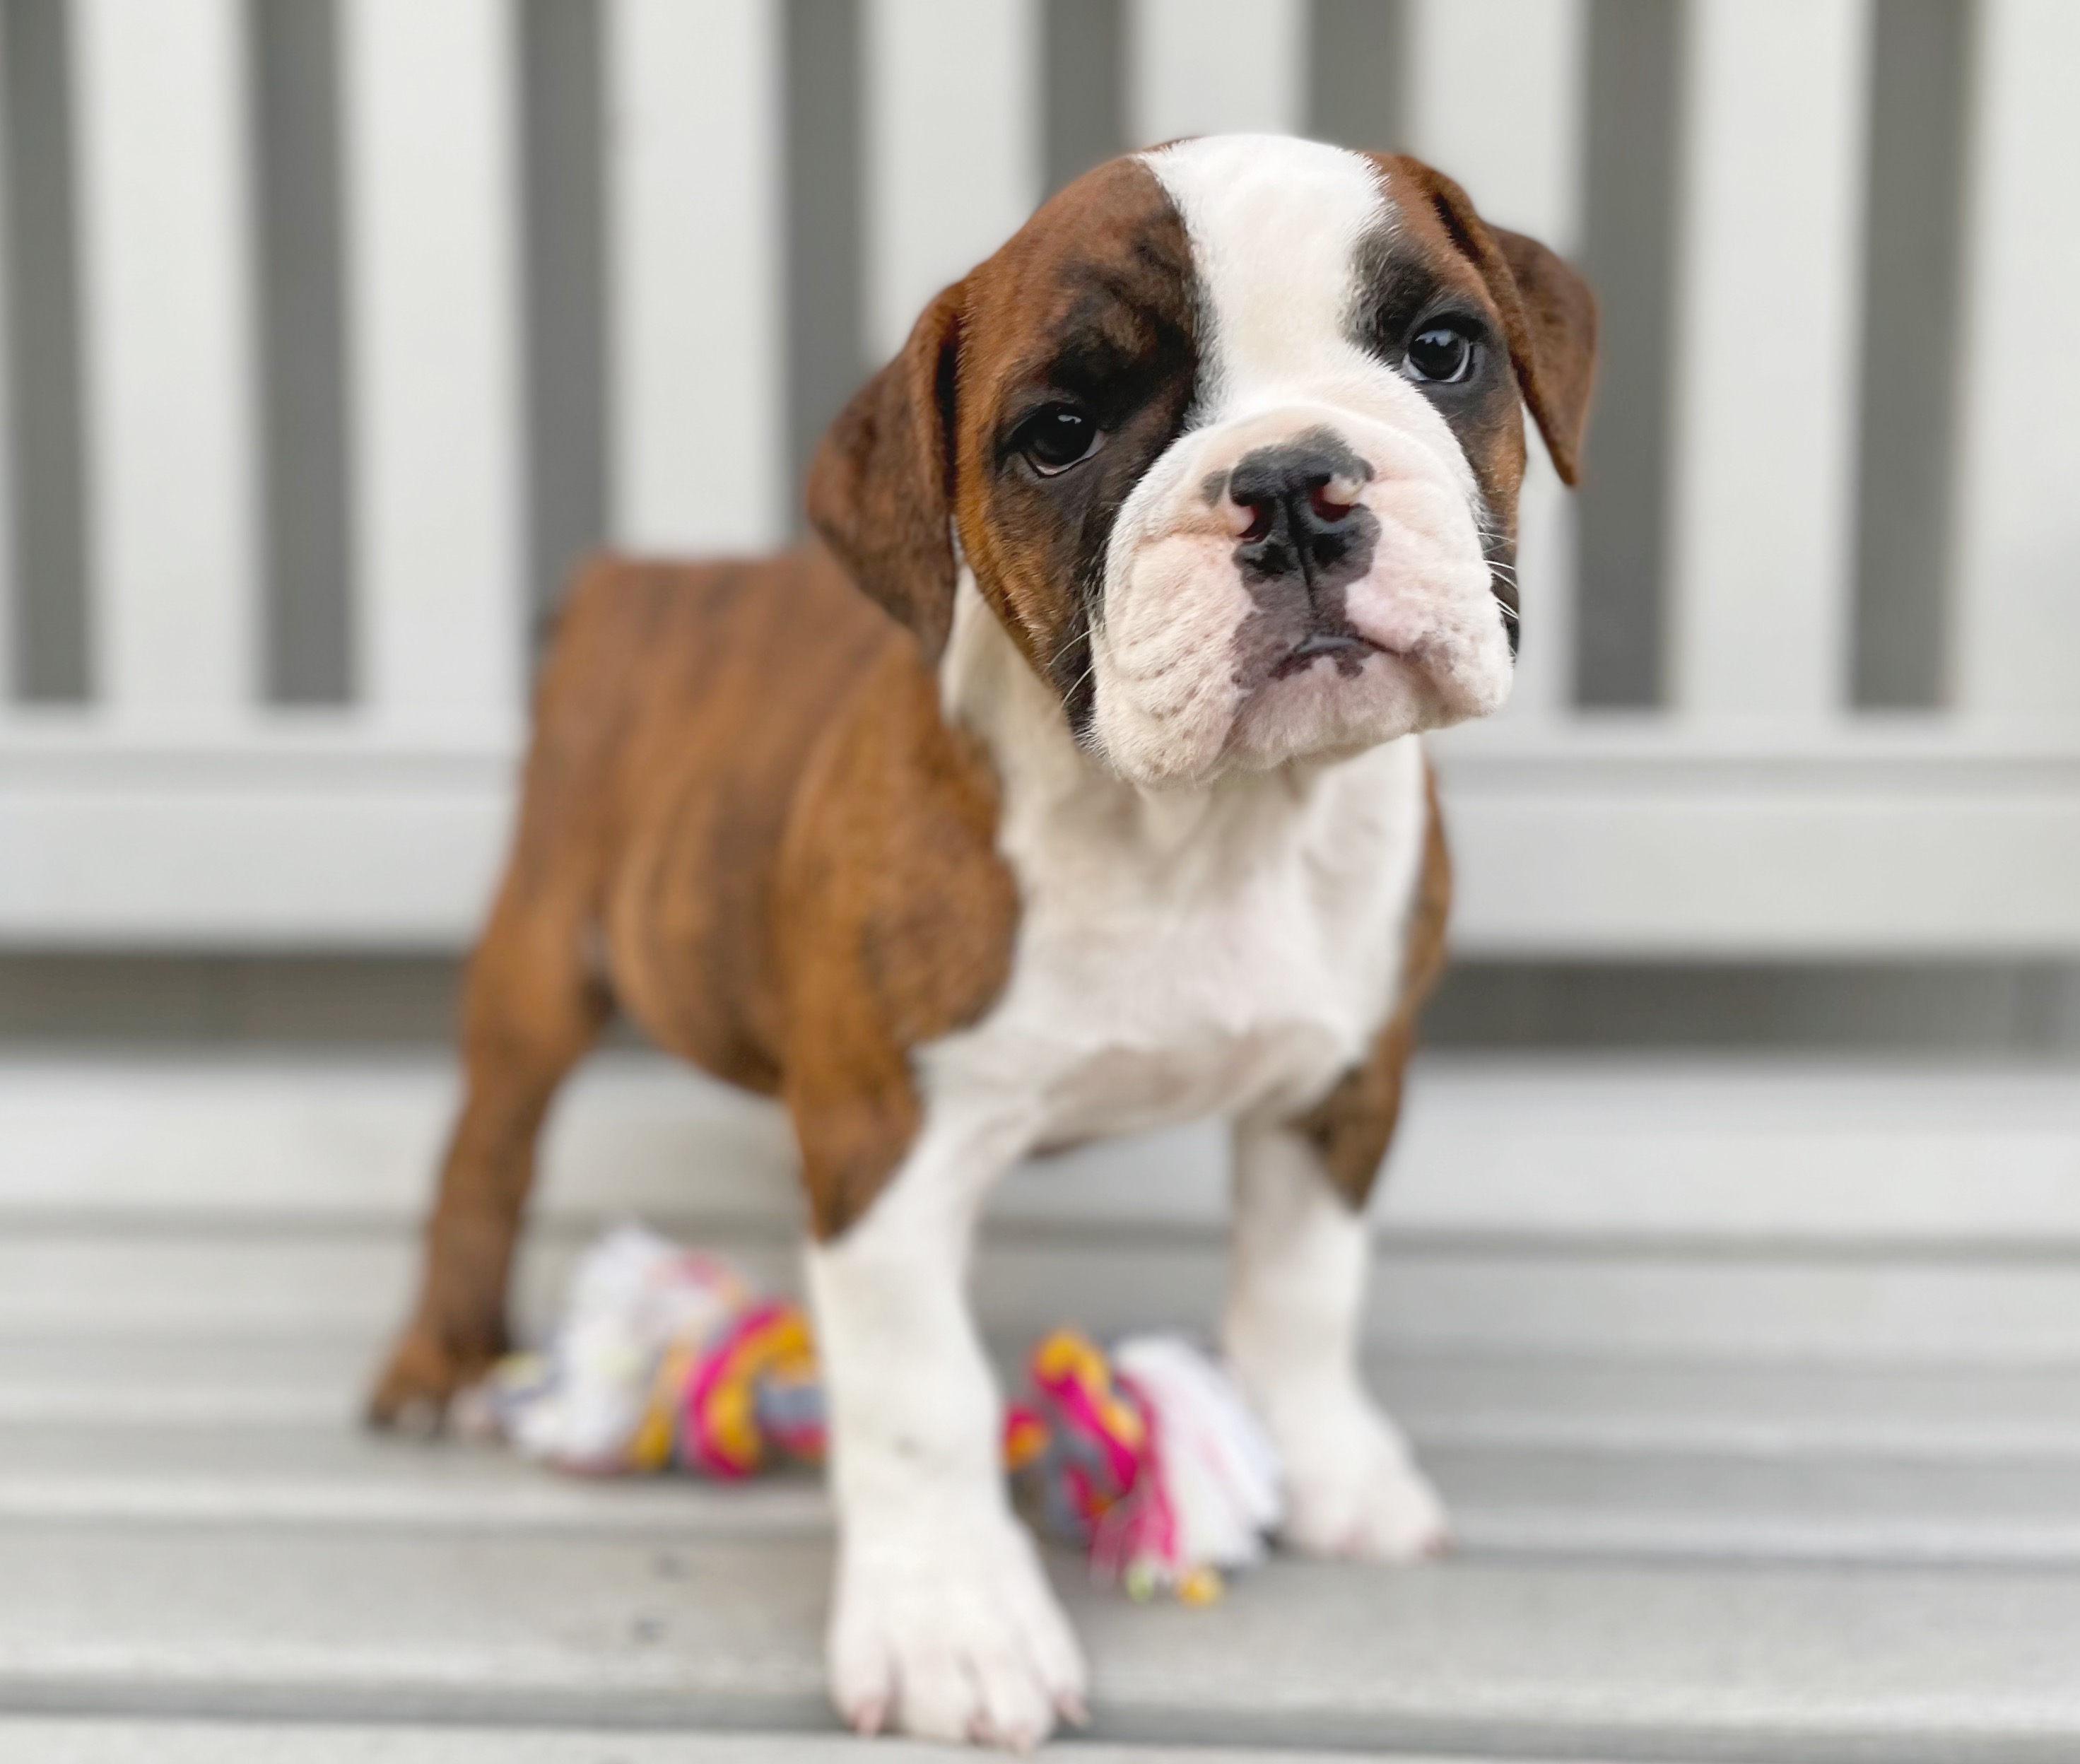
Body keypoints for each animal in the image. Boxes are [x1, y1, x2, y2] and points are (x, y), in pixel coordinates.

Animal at [370, 137, 1589, 1747]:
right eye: (1057, 436)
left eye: (1442, 350)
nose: (1286, 484)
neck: (1200, 826)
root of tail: (639, 576)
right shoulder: (886, 1144)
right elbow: (918, 1398)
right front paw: (951, 1624)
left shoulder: (1341, 1082)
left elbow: (1302, 1290)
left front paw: (1332, 1465)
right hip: (542, 953)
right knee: (486, 1151)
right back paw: (442, 1356)